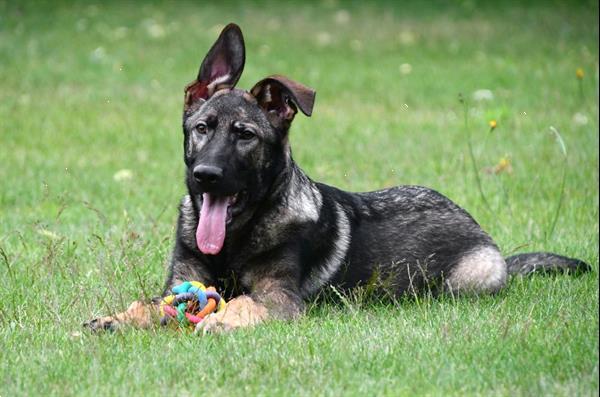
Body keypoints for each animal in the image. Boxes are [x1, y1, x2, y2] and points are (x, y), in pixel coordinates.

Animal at [85, 23, 592, 332]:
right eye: (202, 129)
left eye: (245, 136)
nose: (206, 176)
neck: (236, 239)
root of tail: (487, 238)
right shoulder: (177, 284)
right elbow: (151, 303)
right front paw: (116, 318)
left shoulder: (282, 299)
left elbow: (245, 302)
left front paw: (221, 319)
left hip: (469, 280)